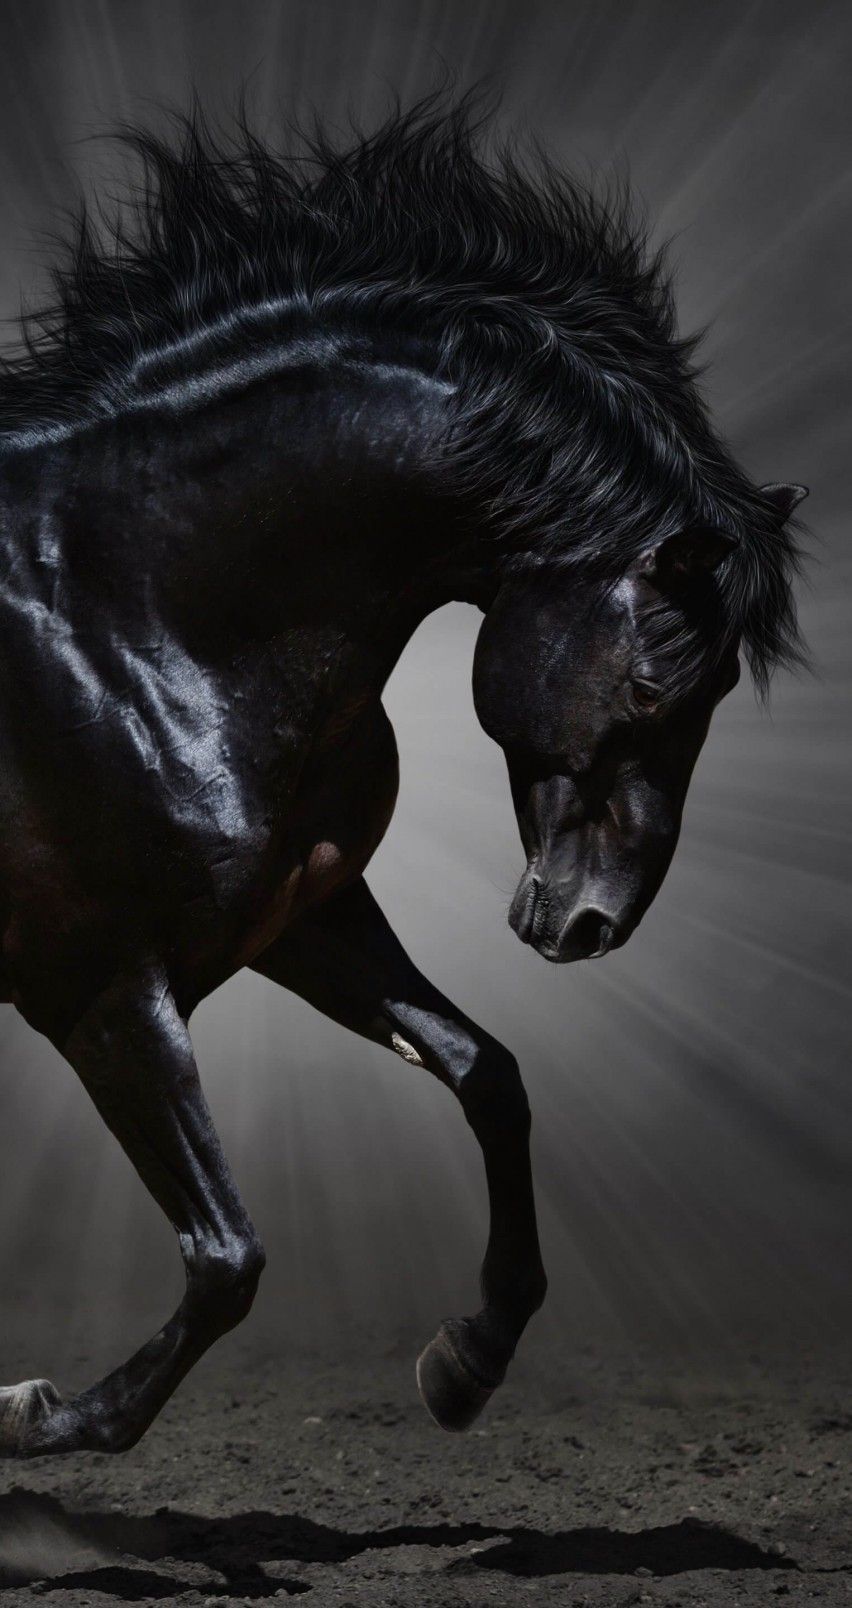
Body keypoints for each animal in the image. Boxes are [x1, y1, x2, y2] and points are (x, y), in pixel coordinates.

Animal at [0, 95, 806, 1457]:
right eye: (658, 686)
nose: (590, 922)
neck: (124, 610)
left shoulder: (302, 919)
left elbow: (487, 1074)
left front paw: (467, 1362)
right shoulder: (102, 991)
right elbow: (227, 1257)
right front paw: (41, 1417)